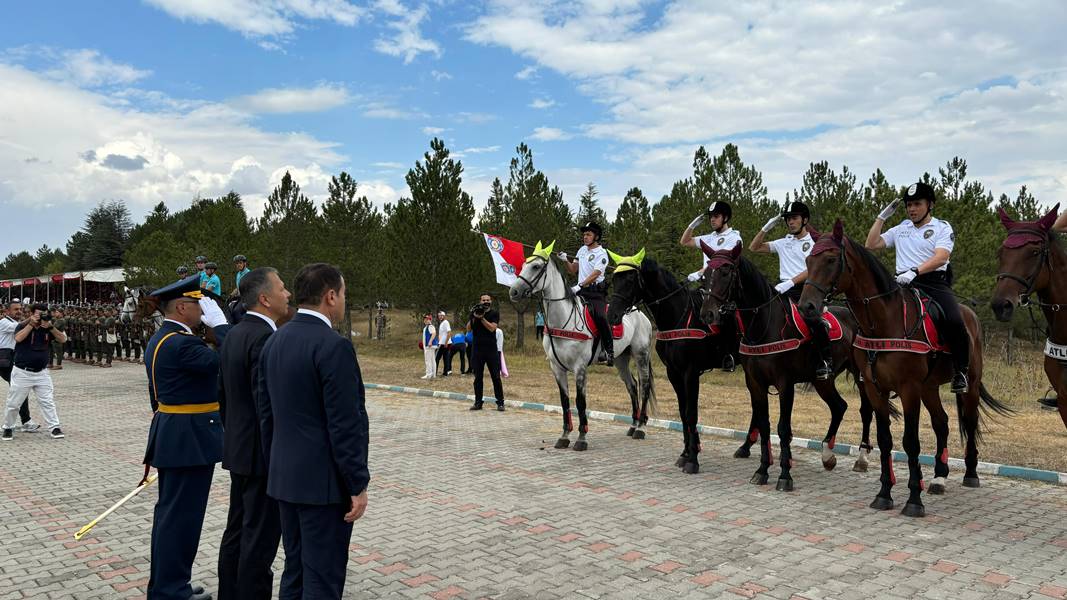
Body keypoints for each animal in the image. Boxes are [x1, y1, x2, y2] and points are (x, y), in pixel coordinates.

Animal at [510, 238, 657, 448]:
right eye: (523, 265)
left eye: (536, 266)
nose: (513, 291)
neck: (563, 319)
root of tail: (640, 313)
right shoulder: (556, 367)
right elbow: (565, 401)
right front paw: (564, 436)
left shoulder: (580, 367)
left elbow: (580, 401)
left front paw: (581, 437)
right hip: (621, 359)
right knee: (632, 385)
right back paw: (633, 425)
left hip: (641, 355)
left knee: (644, 385)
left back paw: (641, 428)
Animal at [610, 251, 734, 471]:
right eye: (614, 279)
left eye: (631, 280)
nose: (612, 315)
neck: (678, 317)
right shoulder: (674, 373)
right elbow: (683, 412)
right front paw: (686, 453)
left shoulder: (691, 373)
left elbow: (691, 412)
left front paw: (693, 459)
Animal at [699, 240, 874, 488]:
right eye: (705, 275)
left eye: (725, 273)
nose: (707, 314)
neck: (764, 327)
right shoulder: (755, 383)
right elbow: (764, 424)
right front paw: (762, 470)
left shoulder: (785, 384)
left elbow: (783, 428)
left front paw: (784, 475)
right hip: (823, 380)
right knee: (839, 406)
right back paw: (827, 456)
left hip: (861, 376)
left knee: (865, 410)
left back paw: (861, 458)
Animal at [802, 218, 1007, 514]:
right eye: (808, 259)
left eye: (830, 259)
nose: (806, 306)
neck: (883, 322)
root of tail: (970, 314)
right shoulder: (876, 388)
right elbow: (885, 439)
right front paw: (884, 493)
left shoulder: (909, 389)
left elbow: (910, 442)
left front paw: (913, 499)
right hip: (929, 388)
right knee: (942, 423)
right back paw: (939, 478)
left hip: (970, 383)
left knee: (969, 420)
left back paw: (970, 474)